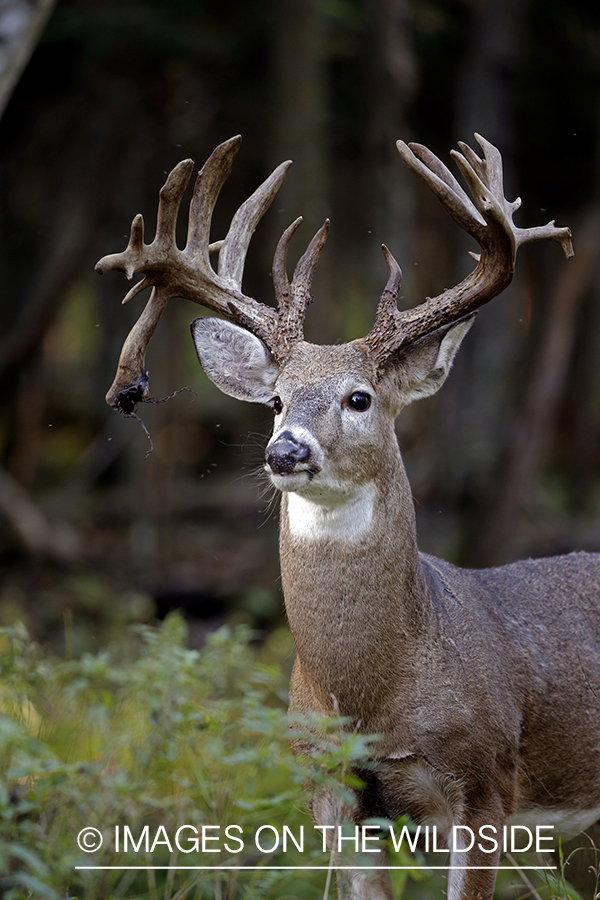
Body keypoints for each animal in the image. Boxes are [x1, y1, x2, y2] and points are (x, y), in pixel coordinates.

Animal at [96, 134, 600, 900]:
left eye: (359, 398)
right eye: (276, 400)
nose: (285, 449)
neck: (371, 694)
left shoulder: (487, 785)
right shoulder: (332, 791)